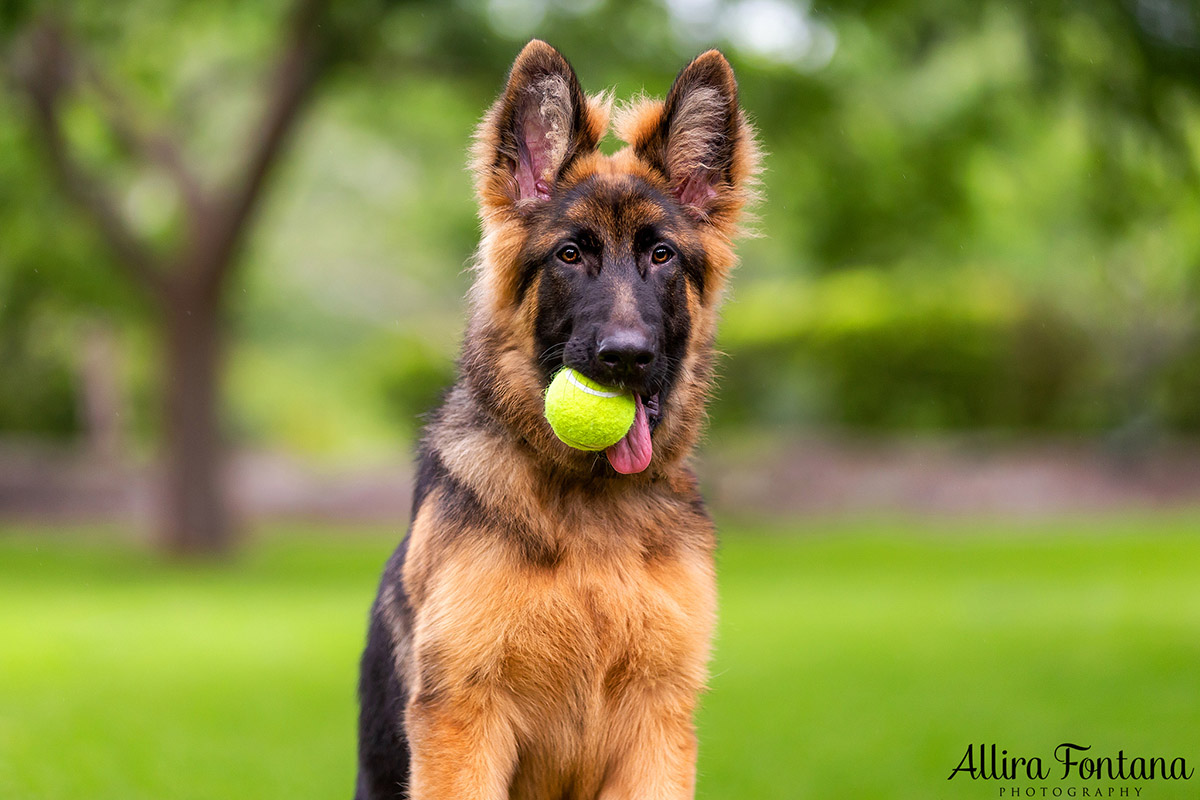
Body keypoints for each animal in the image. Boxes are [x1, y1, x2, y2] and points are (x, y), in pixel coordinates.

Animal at [350, 40, 758, 800]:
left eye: (661, 255)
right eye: (571, 254)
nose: (625, 358)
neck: (590, 504)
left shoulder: (659, 723)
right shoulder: (463, 718)